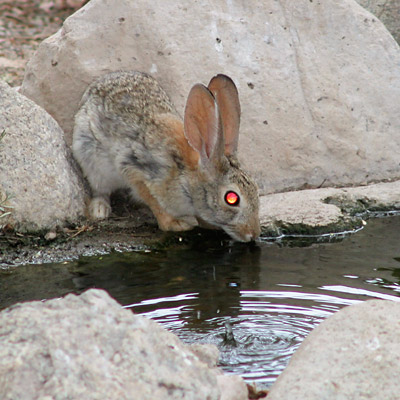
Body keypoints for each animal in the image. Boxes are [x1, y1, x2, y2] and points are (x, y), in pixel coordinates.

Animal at [72, 70, 260, 242]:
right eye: (231, 198)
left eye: (256, 189)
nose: (253, 234)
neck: (187, 177)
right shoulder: (136, 169)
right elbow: (154, 202)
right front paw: (176, 224)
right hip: (91, 159)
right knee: (100, 189)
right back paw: (100, 210)